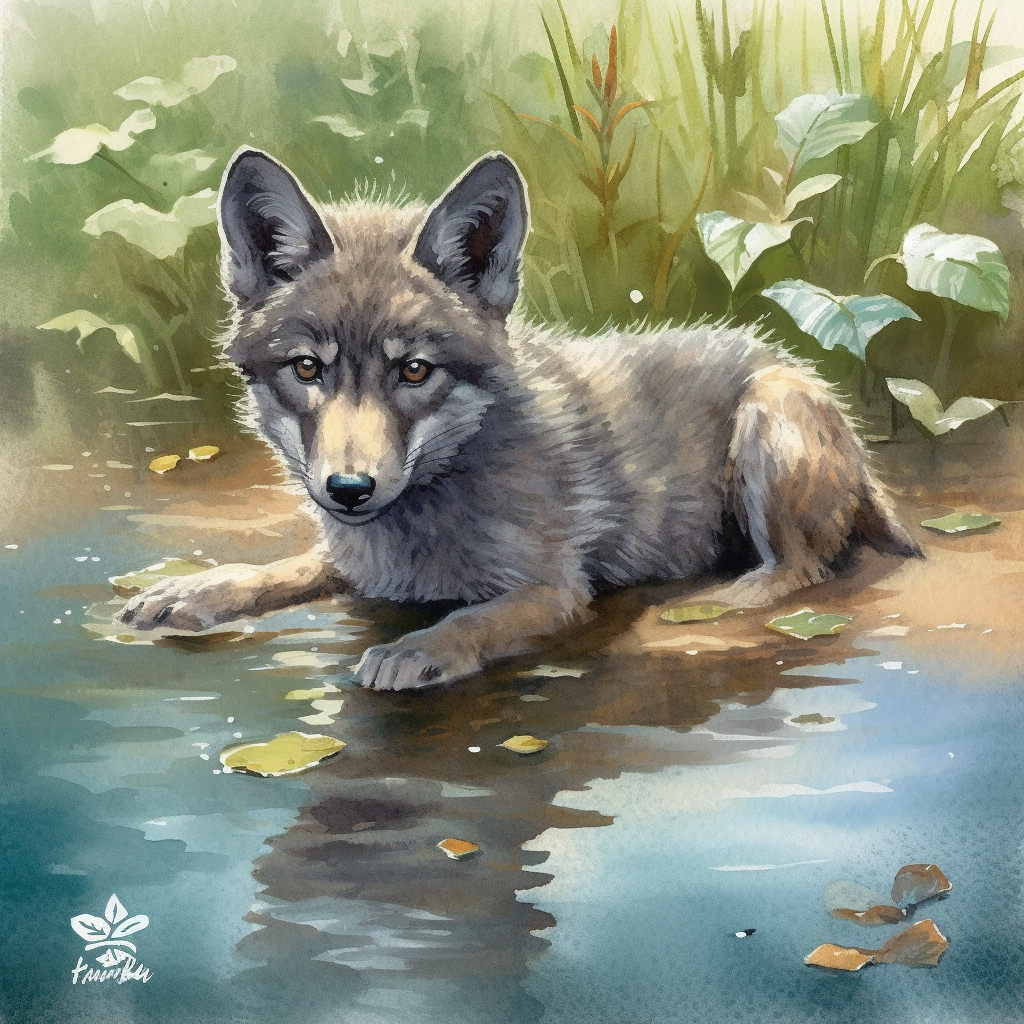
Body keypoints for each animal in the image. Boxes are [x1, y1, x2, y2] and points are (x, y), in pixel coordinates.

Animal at [115, 148, 920, 689]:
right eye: (307, 370)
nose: (349, 489)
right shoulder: (358, 564)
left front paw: (414, 650)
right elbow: (274, 569)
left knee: (801, 569)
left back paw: (713, 603)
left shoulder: (550, 591)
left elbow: (466, 620)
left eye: (414, 371)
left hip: (766, 418)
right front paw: (193, 591)